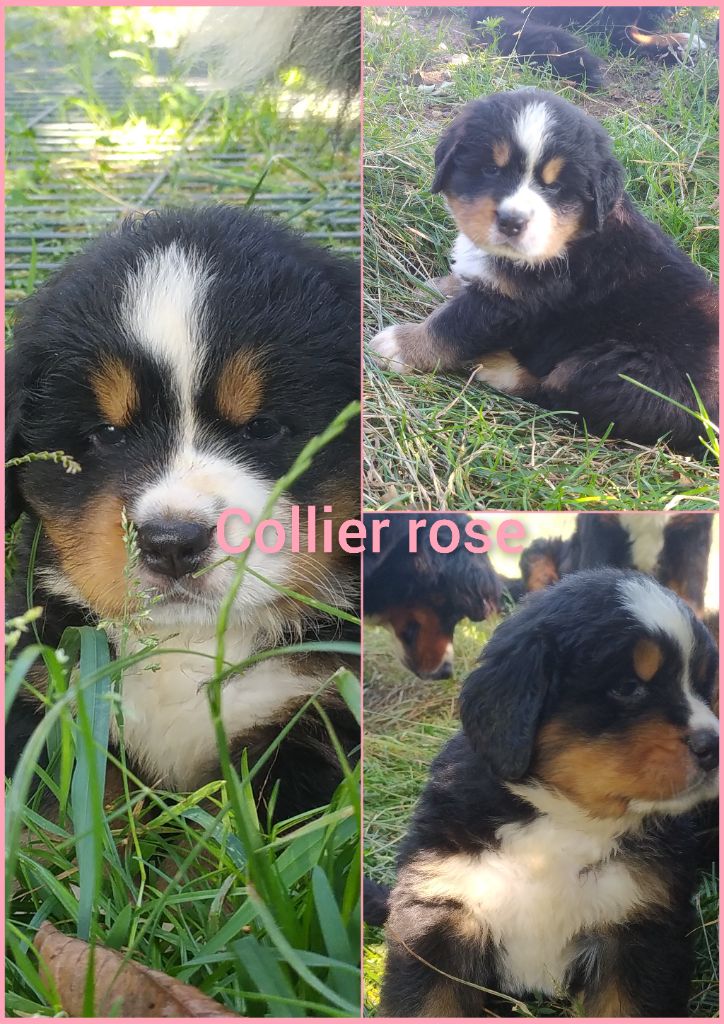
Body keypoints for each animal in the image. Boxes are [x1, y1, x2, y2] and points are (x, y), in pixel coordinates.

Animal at [6, 205, 360, 821]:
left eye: (262, 427)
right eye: (107, 434)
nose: (171, 543)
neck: (186, 642)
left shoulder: (312, 712)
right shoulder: (48, 687)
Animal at [370, 89, 718, 454]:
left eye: (555, 188)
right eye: (491, 169)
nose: (512, 221)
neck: (567, 241)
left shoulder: (511, 304)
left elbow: (450, 326)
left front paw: (401, 346)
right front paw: (440, 285)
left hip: (617, 371)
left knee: (558, 393)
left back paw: (499, 368)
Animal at [379, 569, 719, 1016]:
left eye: (703, 686)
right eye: (628, 687)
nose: (714, 745)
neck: (562, 820)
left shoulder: (636, 930)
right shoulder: (439, 914)